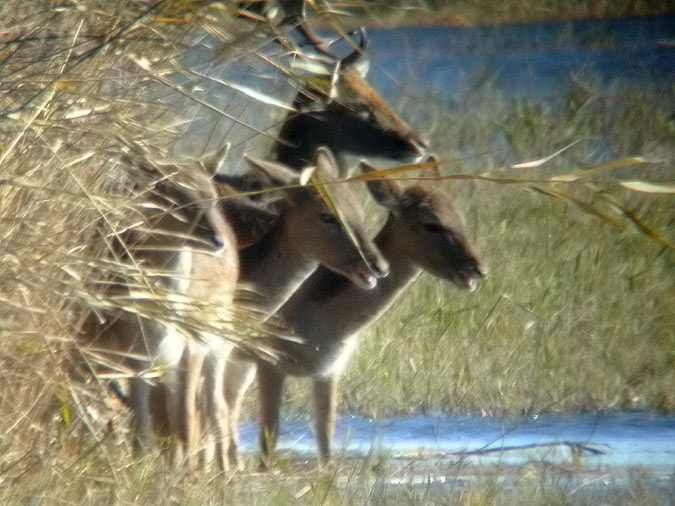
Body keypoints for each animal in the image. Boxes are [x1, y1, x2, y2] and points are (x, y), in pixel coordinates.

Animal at [228, 161, 486, 466]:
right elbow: (269, 443)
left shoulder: (328, 371)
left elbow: (326, 443)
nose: (477, 269)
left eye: (459, 214)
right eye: (430, 223)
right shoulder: (268, 364)